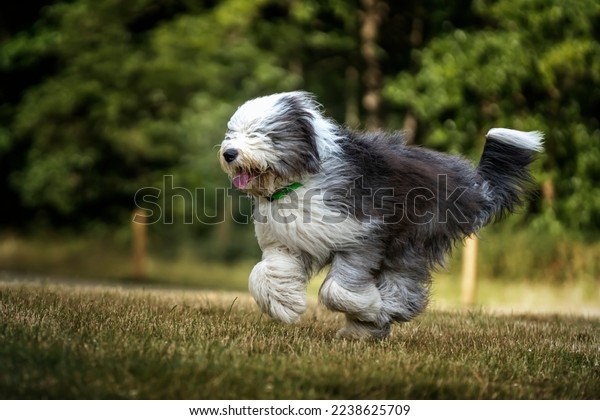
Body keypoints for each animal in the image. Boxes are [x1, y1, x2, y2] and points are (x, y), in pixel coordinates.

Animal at [219, 91, 544, 338]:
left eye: (261, 133)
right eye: (232, 133)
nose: (229, 153)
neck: (300, 180)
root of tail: (472, 184)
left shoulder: (362, 236)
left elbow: (337, 290)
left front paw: (371, 308)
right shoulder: (289, 242)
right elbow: (264, 273)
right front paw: (283, 305)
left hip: (413, 237)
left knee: (403, 283)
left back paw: (381, 314)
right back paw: (364, 330)